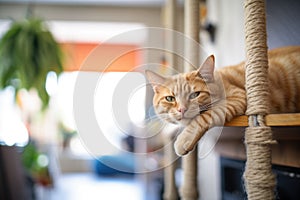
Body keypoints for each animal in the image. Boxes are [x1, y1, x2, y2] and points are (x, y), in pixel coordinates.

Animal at [146, 45, 300, 156]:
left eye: (195, 95)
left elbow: (203, 117)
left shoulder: (237, 97)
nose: (182, 109)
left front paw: (185, 139)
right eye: (170, 98)